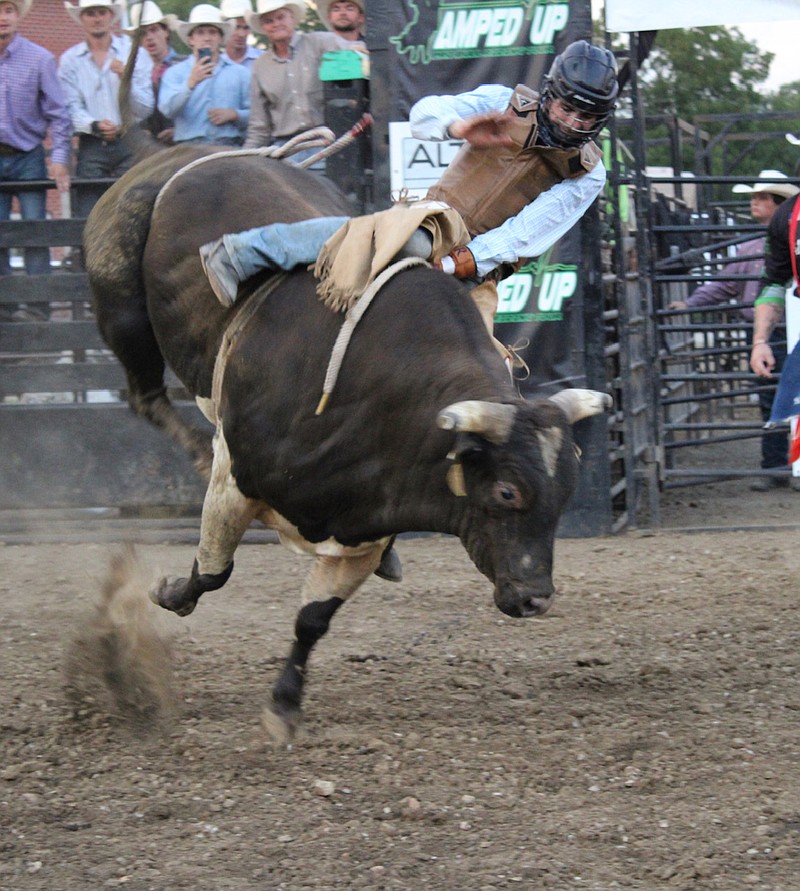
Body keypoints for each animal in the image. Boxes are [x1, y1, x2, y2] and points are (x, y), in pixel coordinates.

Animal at [84, 145, 608, 732]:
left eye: (565, 494)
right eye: (507, 491)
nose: (536, 600)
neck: (383, 394)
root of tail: (183, 155)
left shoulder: (366, 524)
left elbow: (313, 619)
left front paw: (284, 705)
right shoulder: (238, 480)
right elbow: (214, 570)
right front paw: (169, 594)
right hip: (123, 310)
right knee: (144, 394)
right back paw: (199, 434)